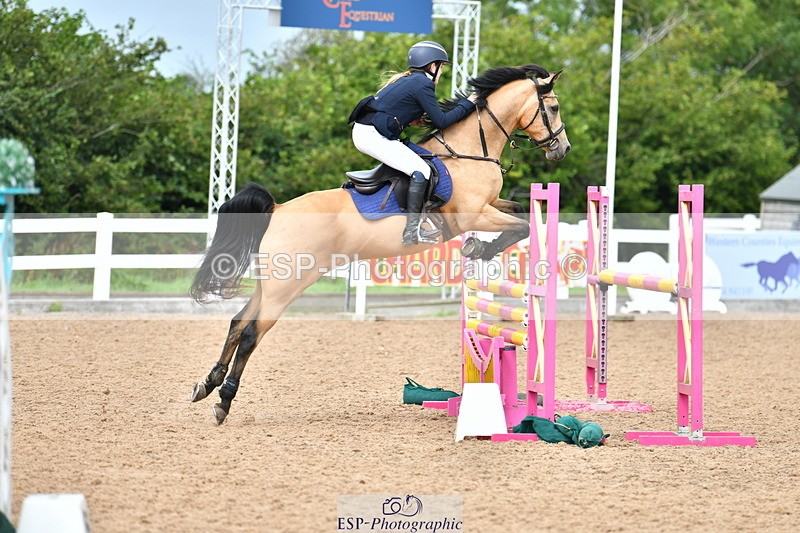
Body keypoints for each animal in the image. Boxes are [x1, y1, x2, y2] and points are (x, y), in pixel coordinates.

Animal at [189, 64, 571, 424]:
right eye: (552, 107)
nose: (562, 149)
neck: (468, 152)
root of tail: (278, 209)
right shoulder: (474, 215)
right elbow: (522, 226)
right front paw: (479, 248)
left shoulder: (491, 207)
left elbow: (519, 213)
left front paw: (478, 248)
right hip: (288, 286)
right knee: (251, 334)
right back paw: (223, 401)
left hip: (270, 284)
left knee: (237, 323)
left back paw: (207, 384)